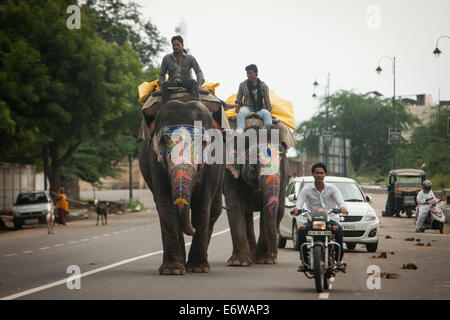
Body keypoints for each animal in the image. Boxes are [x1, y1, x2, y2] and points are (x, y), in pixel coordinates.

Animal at [139, 100, 225, 276]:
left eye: (203, 143)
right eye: (163, 141)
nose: (191, 229)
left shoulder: (212, 167)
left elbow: (202, 206)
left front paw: (198, 268)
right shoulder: (155, 161)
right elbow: (165, 205)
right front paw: (172, 270)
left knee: (214, 210)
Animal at [222, 124, 288, 266]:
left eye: (280, 165)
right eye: (254, 160)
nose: (274, 254)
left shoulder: (284, 176)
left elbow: (266, 210)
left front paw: (265, 260)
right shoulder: (229, 174)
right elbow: (235, 206)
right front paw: (238, 263)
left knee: (279, 210)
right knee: (246, 214)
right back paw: (250, 257)